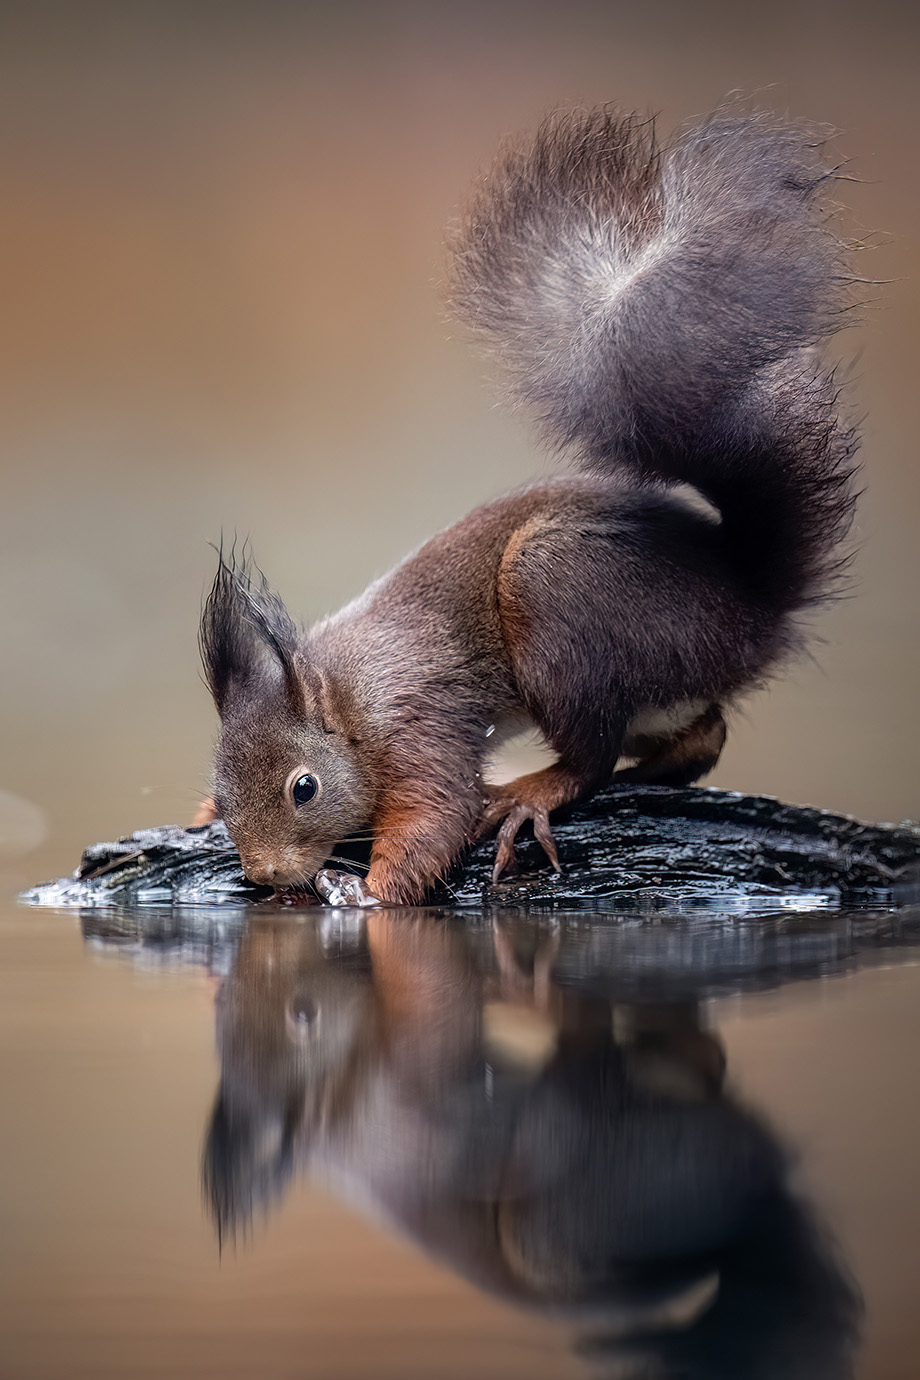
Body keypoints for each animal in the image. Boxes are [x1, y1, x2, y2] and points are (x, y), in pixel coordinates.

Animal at [198, 104, 860, 905]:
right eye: (223, 791)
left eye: (305, 788)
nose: (265, 874)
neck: (345, 698)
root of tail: (753, 600)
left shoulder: (418, 721)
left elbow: (437, 812)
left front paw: (370, 894)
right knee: (702, 739)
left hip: (557, 595)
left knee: (591, 758)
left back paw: (528, 793)